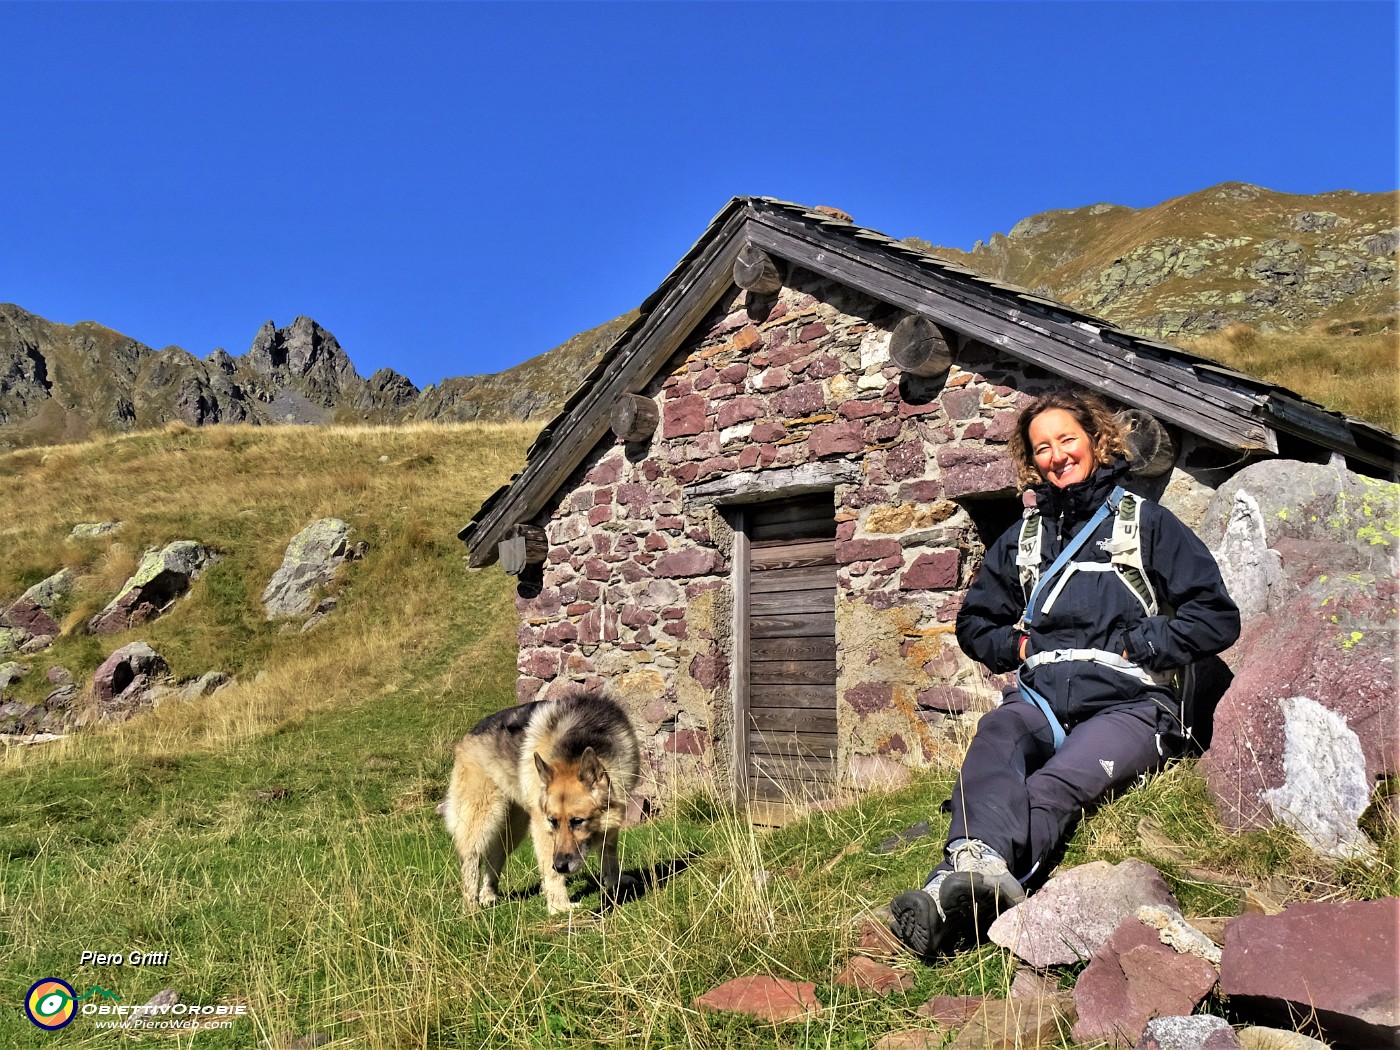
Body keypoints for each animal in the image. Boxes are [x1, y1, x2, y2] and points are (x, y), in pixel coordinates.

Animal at [442, 686, 641, 918]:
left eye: (577, 821)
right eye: (553, 821)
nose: (561, 866)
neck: (577, 746)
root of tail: (469, 735)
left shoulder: (613, 814)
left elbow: (608, 853)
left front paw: (614, 882)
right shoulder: (541, 827)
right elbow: (549, 869)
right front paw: (559, 906)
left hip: (513, 827)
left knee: (495, 857)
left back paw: (488, 896)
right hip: (483, 819)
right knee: (470, 858)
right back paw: (471, 907)